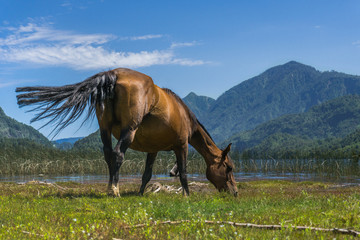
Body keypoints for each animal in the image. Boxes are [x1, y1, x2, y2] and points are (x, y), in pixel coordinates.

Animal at [16, 68, 239, 197]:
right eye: (229, 167)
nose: (235, 192)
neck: (184, 115)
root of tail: (113, 75)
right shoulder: (181, 145)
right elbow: (183, 172)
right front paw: (186, 196)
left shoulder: (153, 150)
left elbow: (146, 174)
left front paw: (140, 194)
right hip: (128, 130)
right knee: (117, 154)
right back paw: (114, 190)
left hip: (104, 129)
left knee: (108, 155)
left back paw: (110, 188)